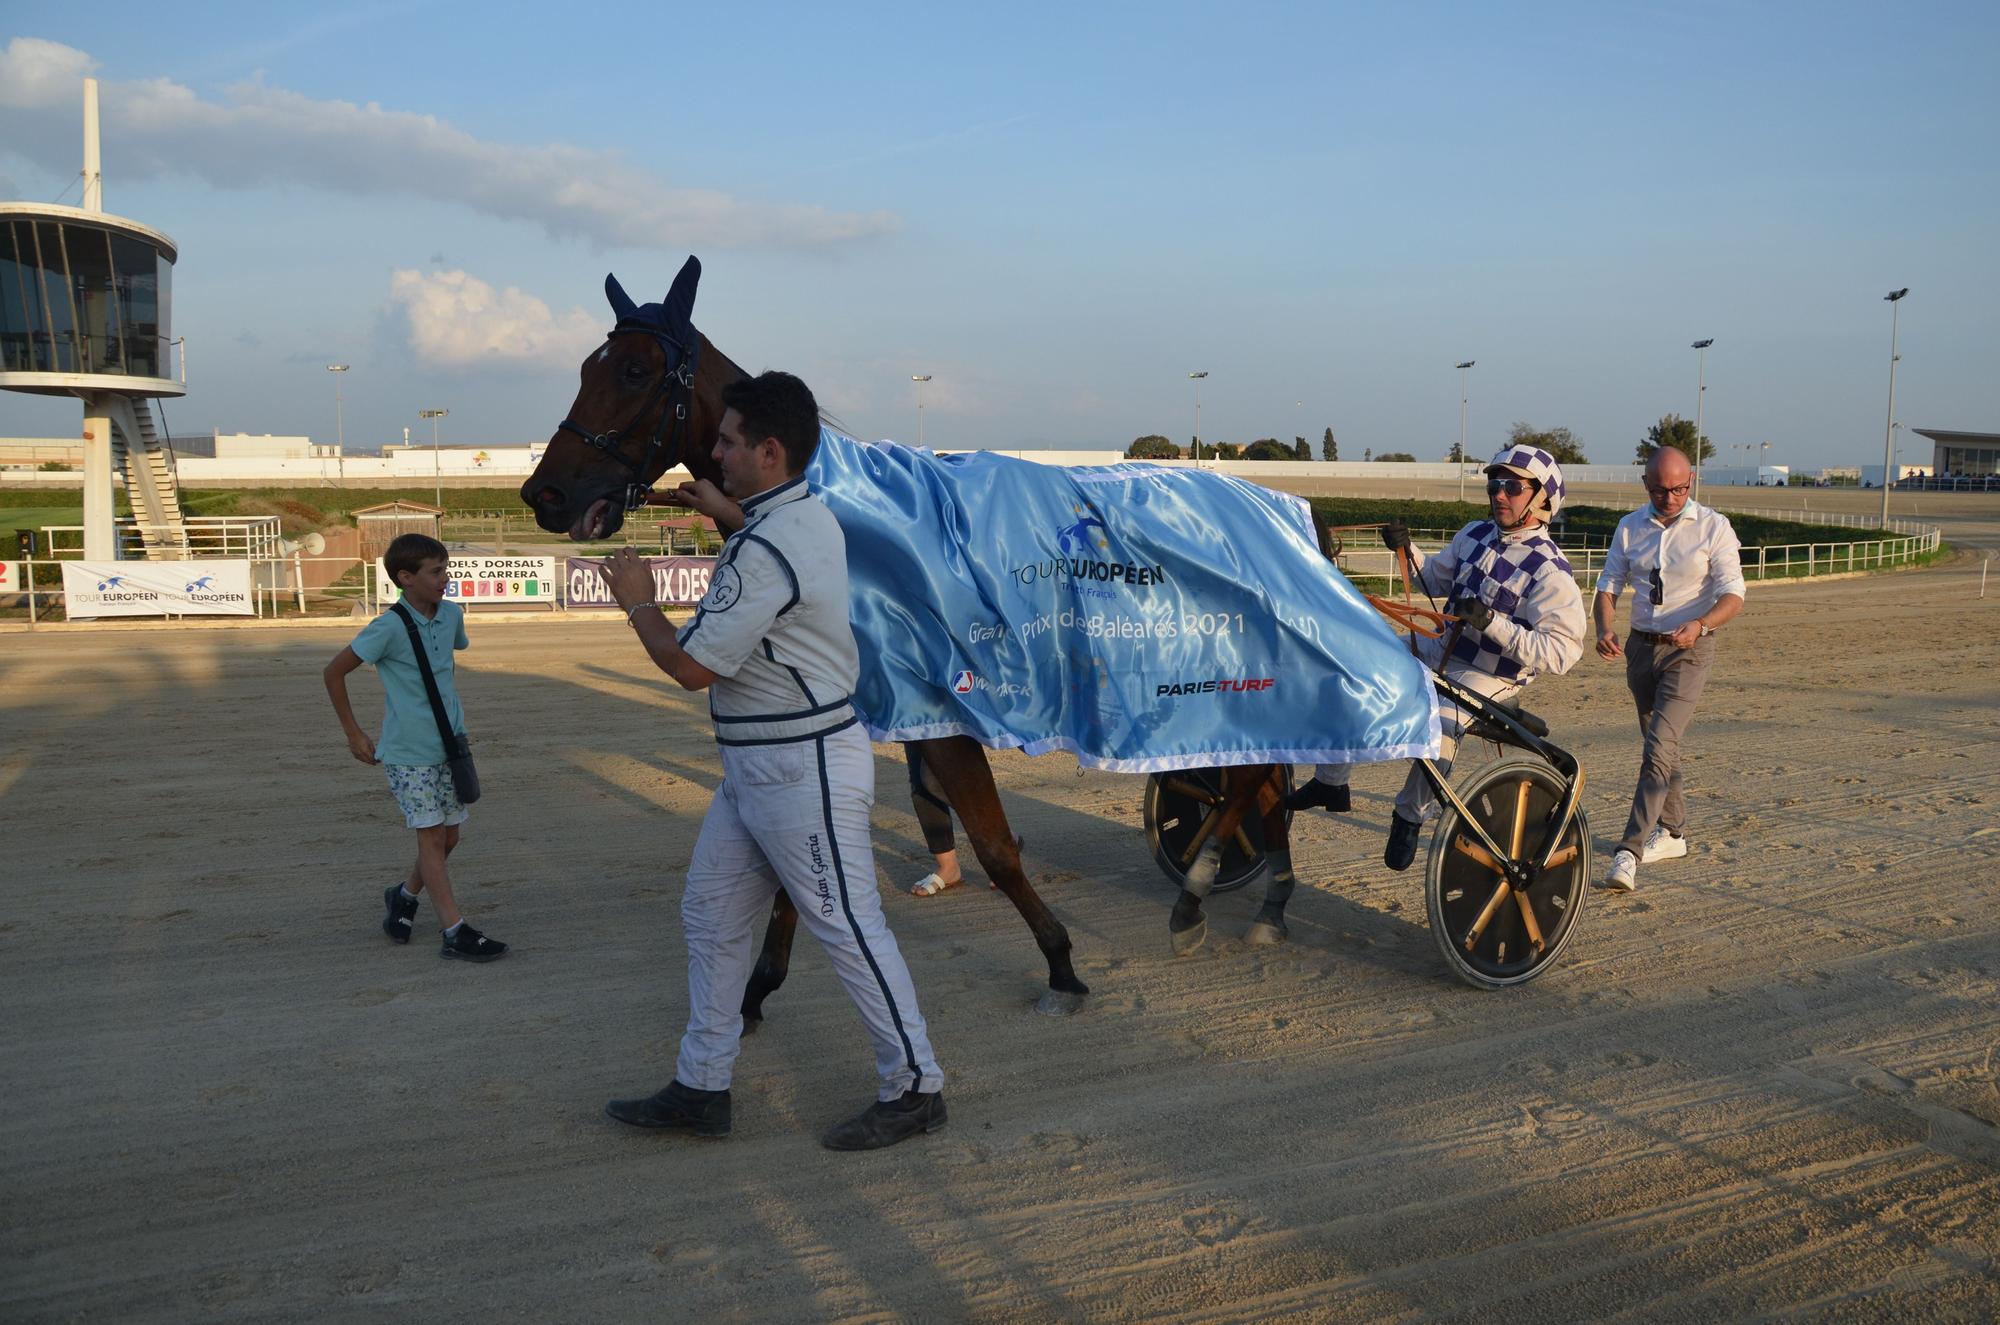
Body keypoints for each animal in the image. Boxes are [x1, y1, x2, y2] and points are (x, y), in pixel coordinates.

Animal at [524, 262, 1312, 1024]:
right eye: (586, 366)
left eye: (634, 371)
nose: (545, 494)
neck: (836, 516)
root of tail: (1283, 504)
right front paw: (759, 985)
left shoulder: (944, 705)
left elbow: (995, 848)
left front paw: (1061, 965)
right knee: (1266, 780)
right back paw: (1266, 905)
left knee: (1248, 778)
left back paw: (1196, 894)